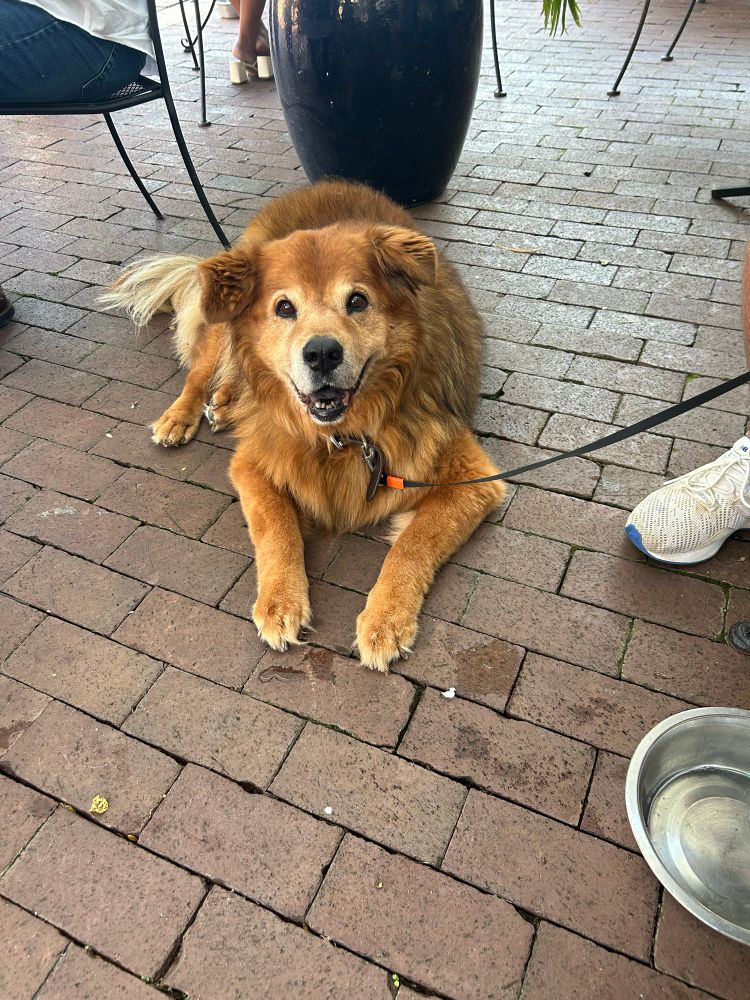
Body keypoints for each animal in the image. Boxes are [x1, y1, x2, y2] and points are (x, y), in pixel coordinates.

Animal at [104, 180, 504, 671]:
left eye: (357, 300)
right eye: (284, 307)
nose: (322, 353)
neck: (341, 434)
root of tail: (320, 185)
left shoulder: (474, 478)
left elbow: (412, 544)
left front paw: (385, 619)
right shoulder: (252, 463)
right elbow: (276, 528)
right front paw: (280, 602)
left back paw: (226, 403)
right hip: (221, 325)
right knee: (201, 371)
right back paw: (185, 415)